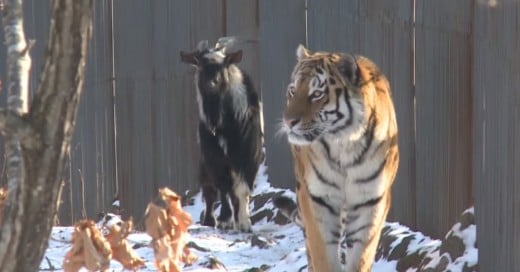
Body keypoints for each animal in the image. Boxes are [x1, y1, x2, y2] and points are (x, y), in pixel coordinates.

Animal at [182, 39, 264, 233]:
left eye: (223, 65)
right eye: (200, 64)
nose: (212, 83)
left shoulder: (249, 156)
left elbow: (243, 189)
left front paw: (244, 222)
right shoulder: (214, 157)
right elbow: (223, 188)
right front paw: (225, 219)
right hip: (205, 164)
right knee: (210, 191)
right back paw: (210, 220)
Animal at [278, 45, 400, 272]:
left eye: (317, 94)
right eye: (292, 91)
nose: (288, 122)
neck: (343, 144)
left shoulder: (371, 202)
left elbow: (361, 257)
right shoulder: (317, 200)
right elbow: (322, 255)